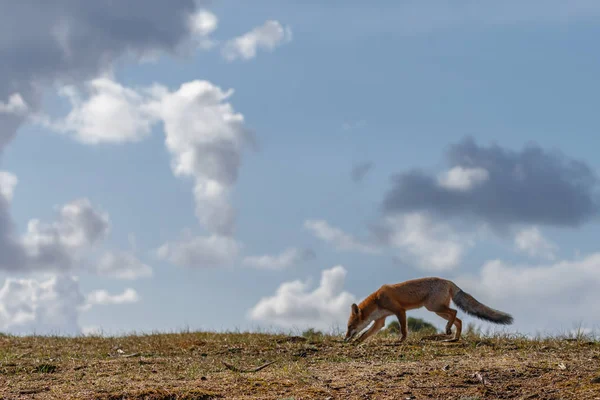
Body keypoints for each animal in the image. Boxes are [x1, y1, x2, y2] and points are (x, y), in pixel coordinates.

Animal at [344, 276, 512, 342]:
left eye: (350, 326)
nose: (345, 339)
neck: (378, 300)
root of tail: (449, 281)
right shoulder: (380, 321)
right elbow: (365, 334)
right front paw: (356, 343)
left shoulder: (400, 311)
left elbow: (403, 329)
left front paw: (401, 340)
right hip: (438, 310)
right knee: (458, 320)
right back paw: (453, 338)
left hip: (433, 307)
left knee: (455, 312)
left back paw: (448, 331)